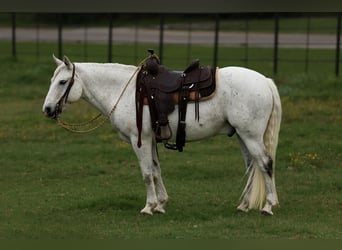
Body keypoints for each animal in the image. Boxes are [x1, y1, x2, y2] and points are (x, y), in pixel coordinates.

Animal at [42, 55, 282, 216]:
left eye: (62, 82)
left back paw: (269, 206)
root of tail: (265, 81)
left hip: (251, 136)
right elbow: (156, 171)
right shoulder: (151, 140)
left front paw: (149, 206)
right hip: (243, 136)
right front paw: (161, 204)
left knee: (265, 163)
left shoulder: (139, 140)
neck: (127, 92)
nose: (47, 109)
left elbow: (147, 173)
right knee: (251, 167)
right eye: (52, 80)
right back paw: (243, 205)